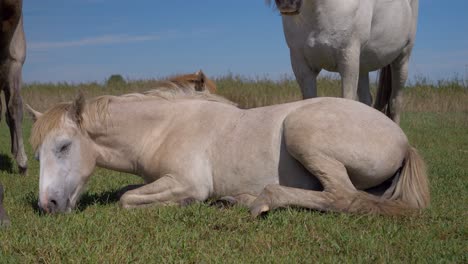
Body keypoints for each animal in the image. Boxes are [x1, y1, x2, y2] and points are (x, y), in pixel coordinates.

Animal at [25, 89, 428, 216]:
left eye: (63, 146)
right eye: (38, 155)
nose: (48, 205)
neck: (162, 128)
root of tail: (403, 141)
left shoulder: (187, 182)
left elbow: (127, 200)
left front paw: (184, 204)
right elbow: (128, 192)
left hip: (304, 133)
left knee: (342, 197)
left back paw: (260, 200)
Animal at [270, 0, 420, 124]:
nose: (286, 2)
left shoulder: (348, 60)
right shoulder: (301, 65)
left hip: (402, 58)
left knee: (395, 102)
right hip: (362, 66)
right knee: (367, 100)